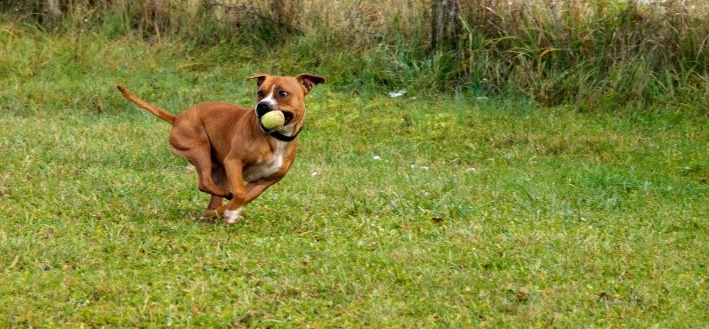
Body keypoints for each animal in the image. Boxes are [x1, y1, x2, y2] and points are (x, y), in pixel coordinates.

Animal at [117, 73, 326, 223]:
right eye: (260, 93)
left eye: (282, 93)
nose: (262, 106)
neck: (275, 138)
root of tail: (177, 118)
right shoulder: (233, 162)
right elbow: (240, 193)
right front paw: (227, 211)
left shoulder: (265, 181)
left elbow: (244, 197)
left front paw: (226, 213)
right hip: (199, 149)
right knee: (205, 183)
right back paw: (221, 200)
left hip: (220, 171)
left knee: (213, 193)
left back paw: (212, 212)